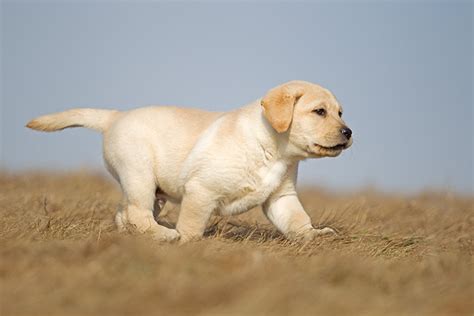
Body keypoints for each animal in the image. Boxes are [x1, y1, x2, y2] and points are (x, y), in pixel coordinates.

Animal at [25, 81, 352, 242]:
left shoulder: (281, 196)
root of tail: (116, 116)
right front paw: (187, 243)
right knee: (137, 214)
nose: (349, 132)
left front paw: (314, 236)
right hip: (139, 175)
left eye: (340, 112)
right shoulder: (201, 190)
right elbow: (192, 226)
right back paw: (165, 235)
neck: (274, 149)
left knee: (126, 213)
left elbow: (297, 219)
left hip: (151, 191)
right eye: (319, 111)